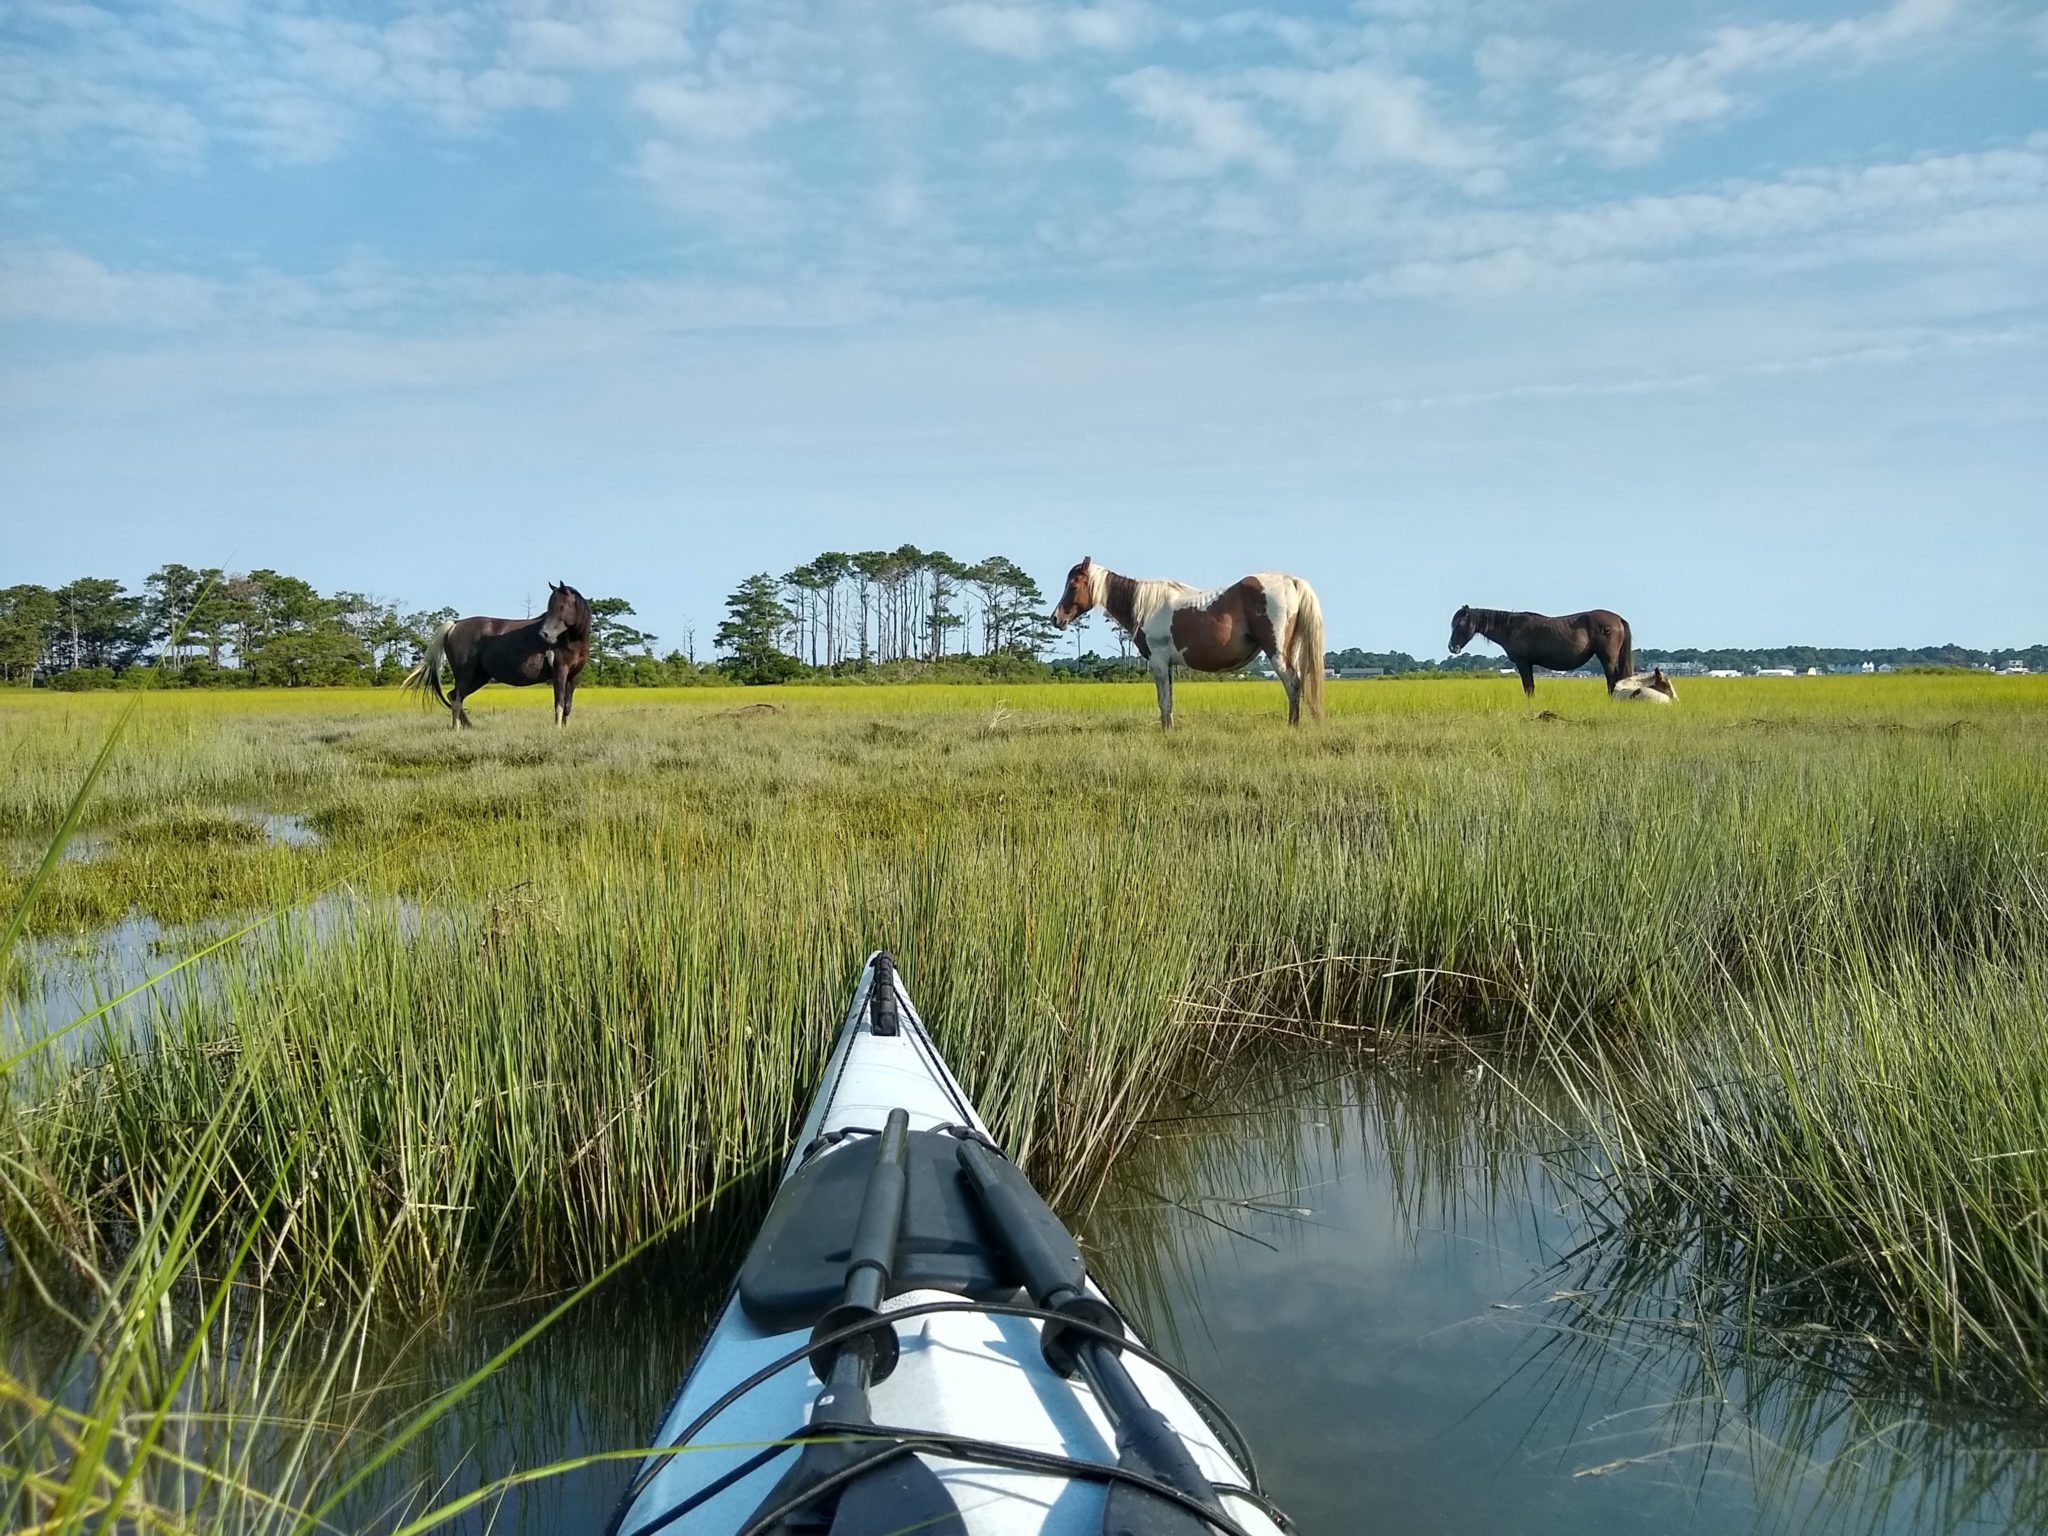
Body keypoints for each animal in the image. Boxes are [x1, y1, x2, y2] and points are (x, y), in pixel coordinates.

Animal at [401, 589, 589, 733]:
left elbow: (568, 704)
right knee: (456, 700)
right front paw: (557, 728)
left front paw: (565, 727)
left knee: (454, 696)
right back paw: (457, 728)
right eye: (550, 607)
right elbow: (559, 702)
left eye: (561, 606)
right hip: (465, 675)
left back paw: (468, 725)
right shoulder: (560, 671)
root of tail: (455, 625)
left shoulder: (574, 675)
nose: (545, 634)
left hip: (479, 677)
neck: (568, 639)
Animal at [1056, 561, 1327, 733]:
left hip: (1277, 653)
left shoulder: (1158, 662)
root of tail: (1291, 581)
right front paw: (1170, 728)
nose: (1056, 618)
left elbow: (1163, 700)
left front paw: (1166, 732)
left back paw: (1292, 726)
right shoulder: (1168, 665)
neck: (1147, 606)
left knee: (1292, 685)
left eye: (1073, 586)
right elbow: (1169, 700)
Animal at [1449, 606, 1638, 700]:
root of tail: (1617, 619)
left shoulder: (1523, 663)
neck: (1511, 627)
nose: (1452, 647)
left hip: (1607, 658)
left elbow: (1528, 687)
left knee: (1612, 680)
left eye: (1460, 624)